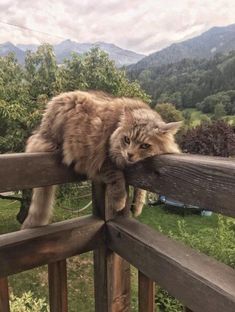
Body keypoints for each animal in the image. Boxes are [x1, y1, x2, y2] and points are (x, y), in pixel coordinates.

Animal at [21, 90, 180, 229]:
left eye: (144, 145)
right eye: (127, 140)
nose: (129, 154)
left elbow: (141, 189)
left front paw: (137, 206)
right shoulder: (105, 161)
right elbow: (118, 180)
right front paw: (119, 203)